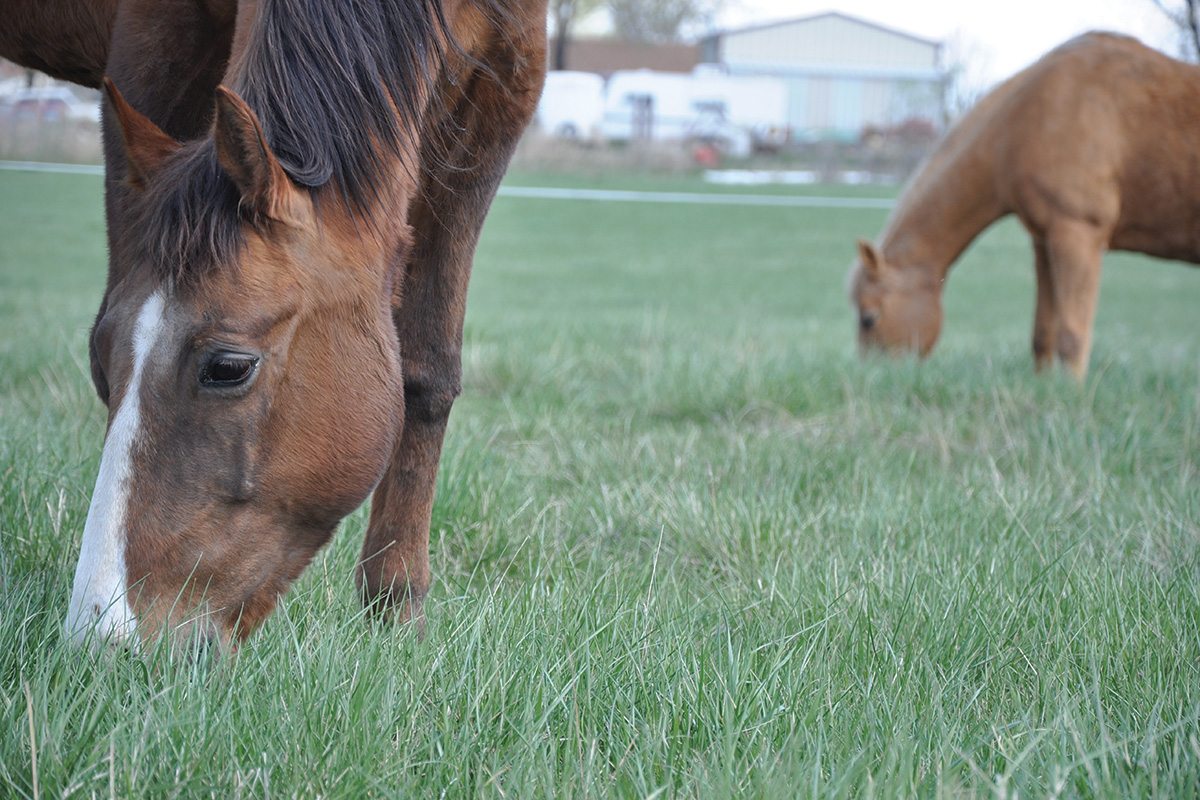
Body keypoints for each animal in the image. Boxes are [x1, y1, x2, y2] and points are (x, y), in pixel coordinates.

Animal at [2, 0, 547, 652]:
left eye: (228, 367)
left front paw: (395, 617)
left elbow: (427, 373)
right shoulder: (155, 40)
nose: (101, 636)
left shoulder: (504, 82)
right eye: (102, 360)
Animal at [849, 34, 1200, 379]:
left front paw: (1073, 393)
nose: (873, 378)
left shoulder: (1077, 235)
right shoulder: (1046, 242)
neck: (1026, 119)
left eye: (869, 318)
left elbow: (1072, 337)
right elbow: (1043, 333)